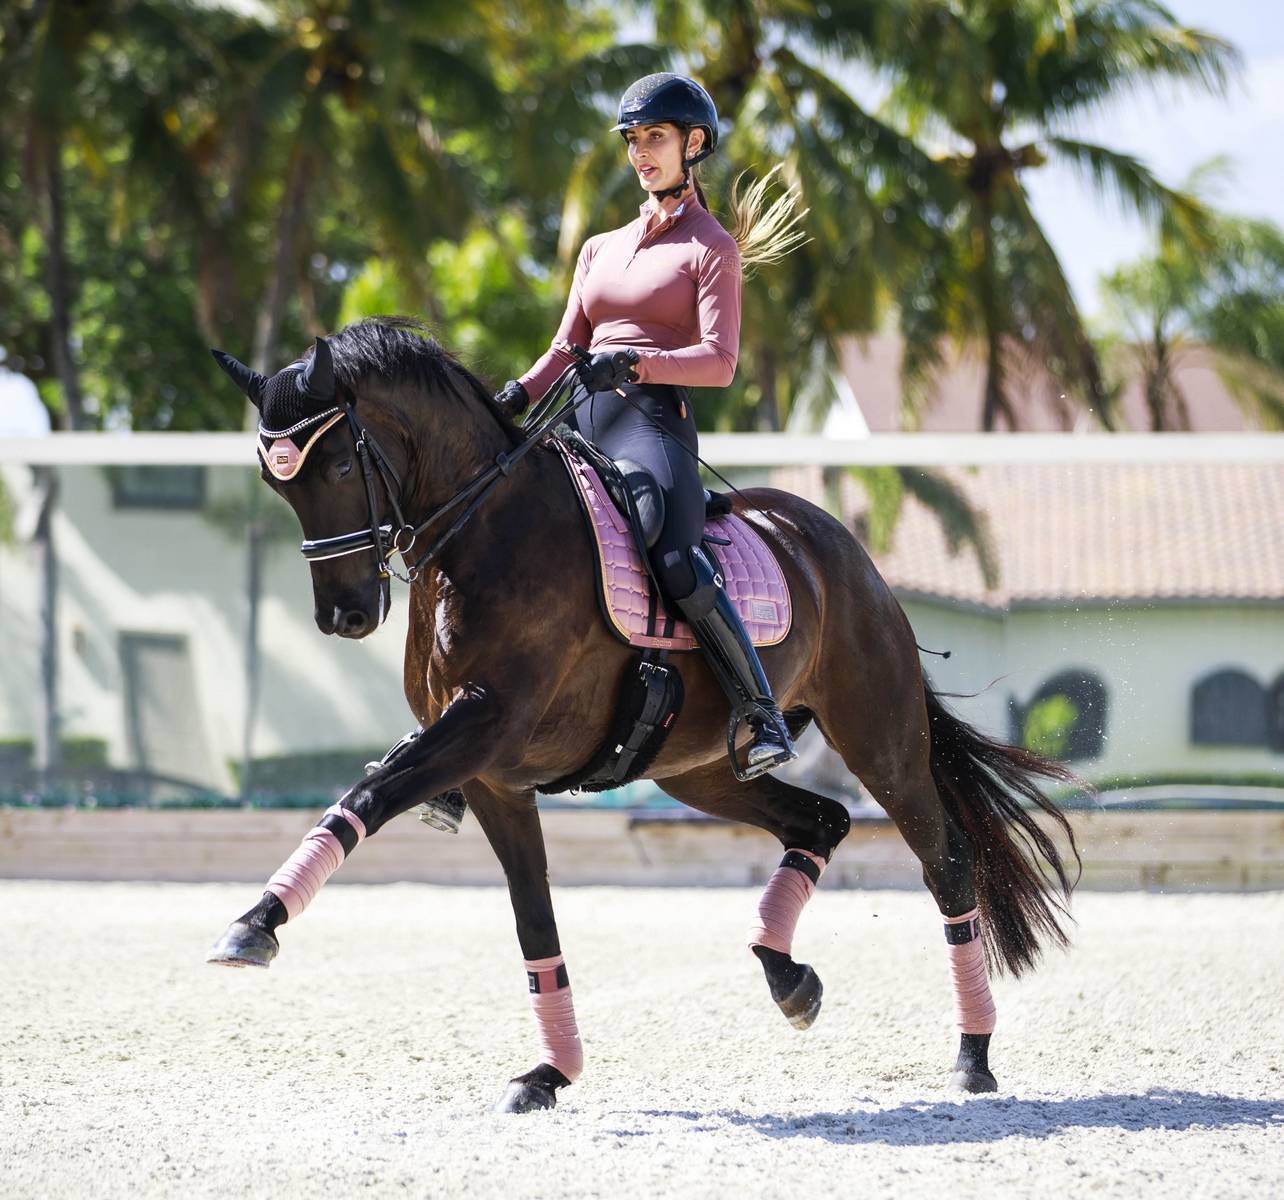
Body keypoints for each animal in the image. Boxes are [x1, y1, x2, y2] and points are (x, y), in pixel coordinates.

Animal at [208, 319, 1073, 1119]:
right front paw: (550, 1073)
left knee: (945, 862)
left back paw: (972, 1055)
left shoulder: (485, 725)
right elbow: (534, 921)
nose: (344, 615)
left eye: (338, 465)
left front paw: (255, 925)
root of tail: (841, 548)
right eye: (278, 484)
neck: (485, 534)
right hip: (698, 770)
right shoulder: (493, 779)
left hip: (879, 741)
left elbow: (369, 796)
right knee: (820, 822)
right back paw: (787, 976)